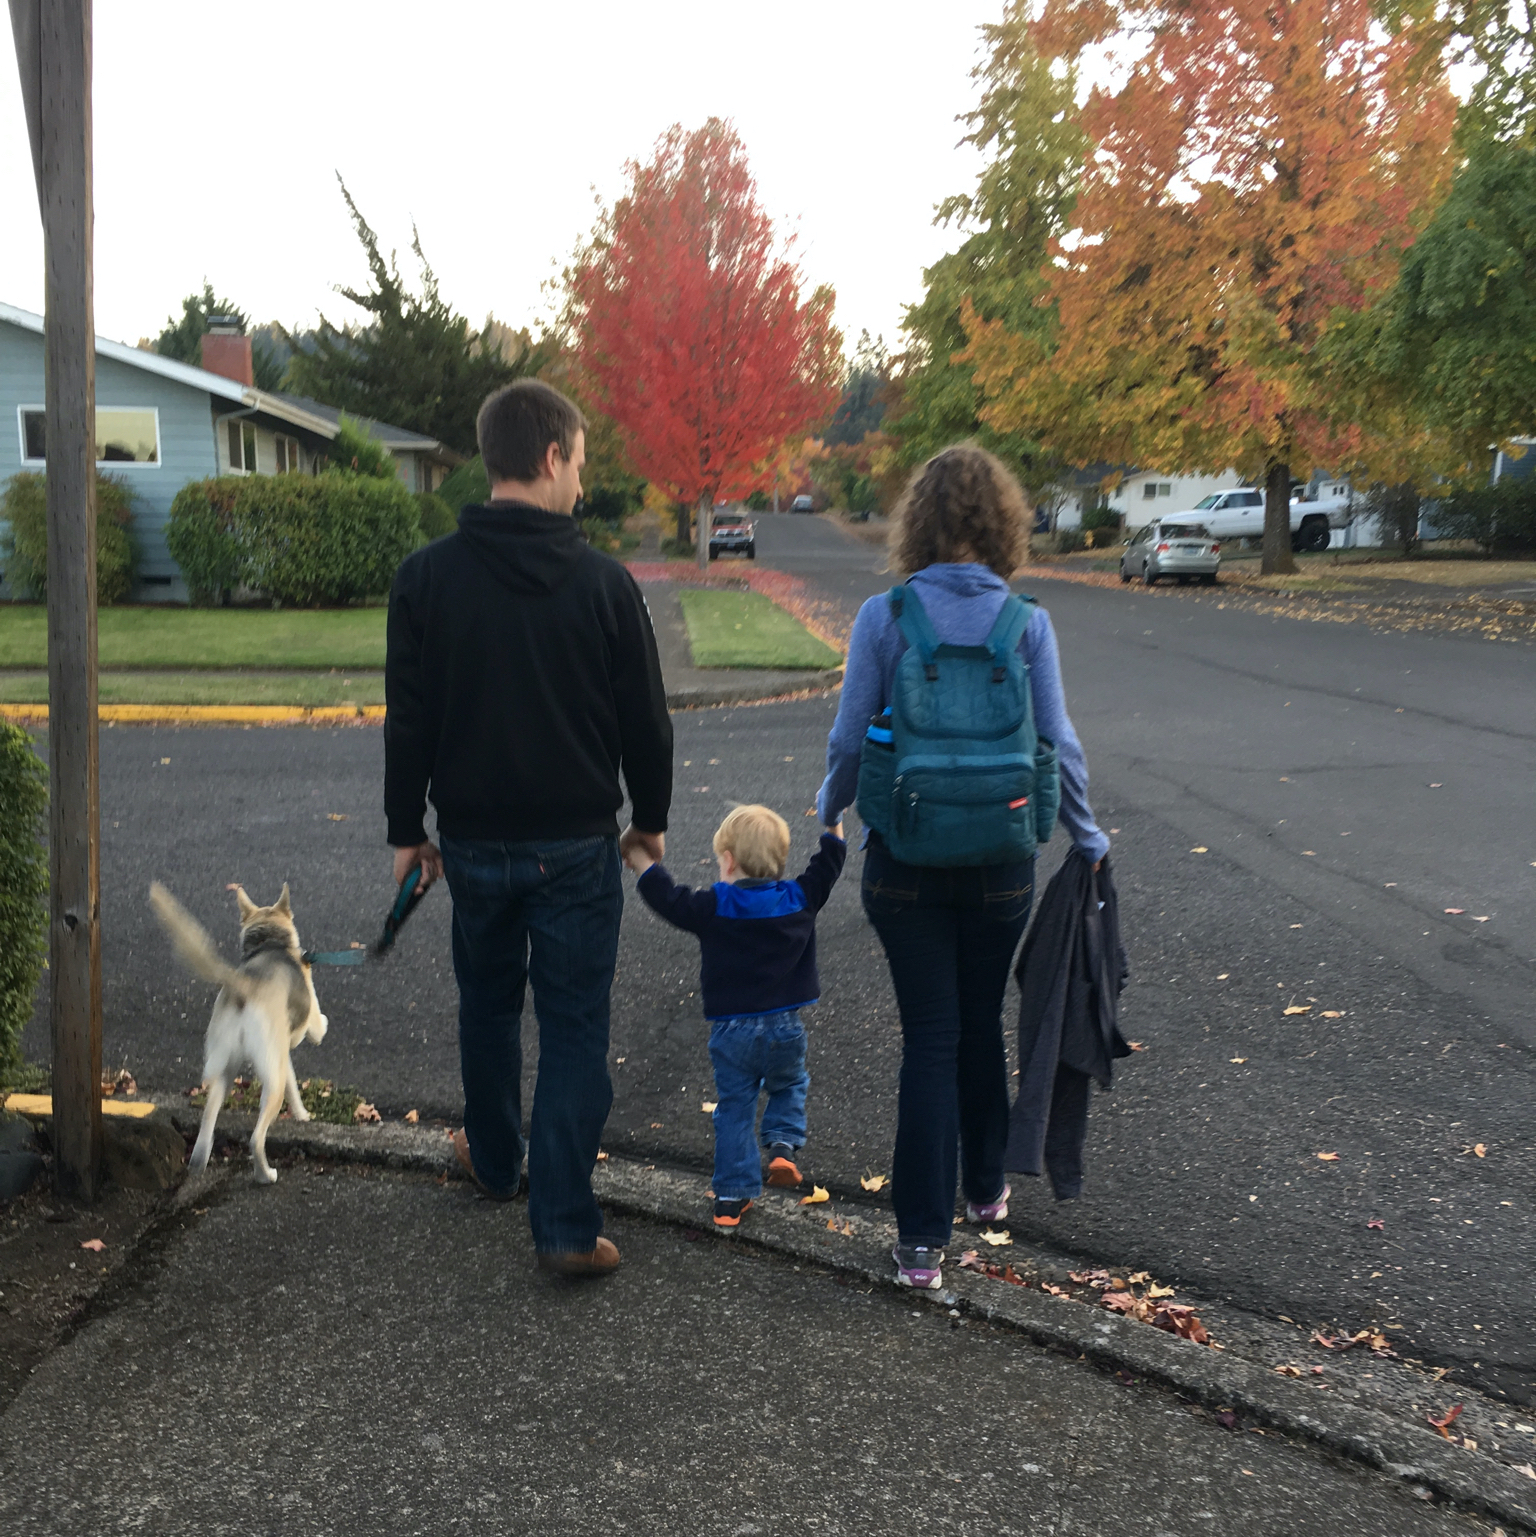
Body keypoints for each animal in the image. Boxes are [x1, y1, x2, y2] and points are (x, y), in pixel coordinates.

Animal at [148, 879, 329, 1186]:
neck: (269, 943)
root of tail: (245, 986)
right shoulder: (304, 1030)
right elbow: (318, 1031)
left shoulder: (282, 1058)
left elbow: (293, 1084)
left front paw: (301, 1114)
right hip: (269, 1083)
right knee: (256, 1138)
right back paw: (265, 1175)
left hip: (226, 1068)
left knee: (205, 1130)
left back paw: (198, 1166)